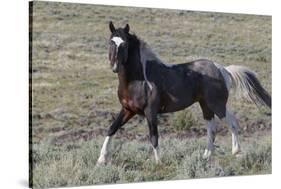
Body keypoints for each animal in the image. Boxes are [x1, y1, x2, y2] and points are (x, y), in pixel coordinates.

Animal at [96, 21, 270, 164]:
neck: (139, 80)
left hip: (217, 104)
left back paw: (235, 151)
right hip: (206, 105)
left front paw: (158, 163)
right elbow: (112, 128)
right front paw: (101, 159)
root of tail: (222, 69)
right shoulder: (128, 110)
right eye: (110, 42)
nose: (114, 66)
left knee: (232, 123)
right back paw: (206, 156)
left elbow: (154, 136)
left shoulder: (150, 112)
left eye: (124, 44)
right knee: (211, 129)